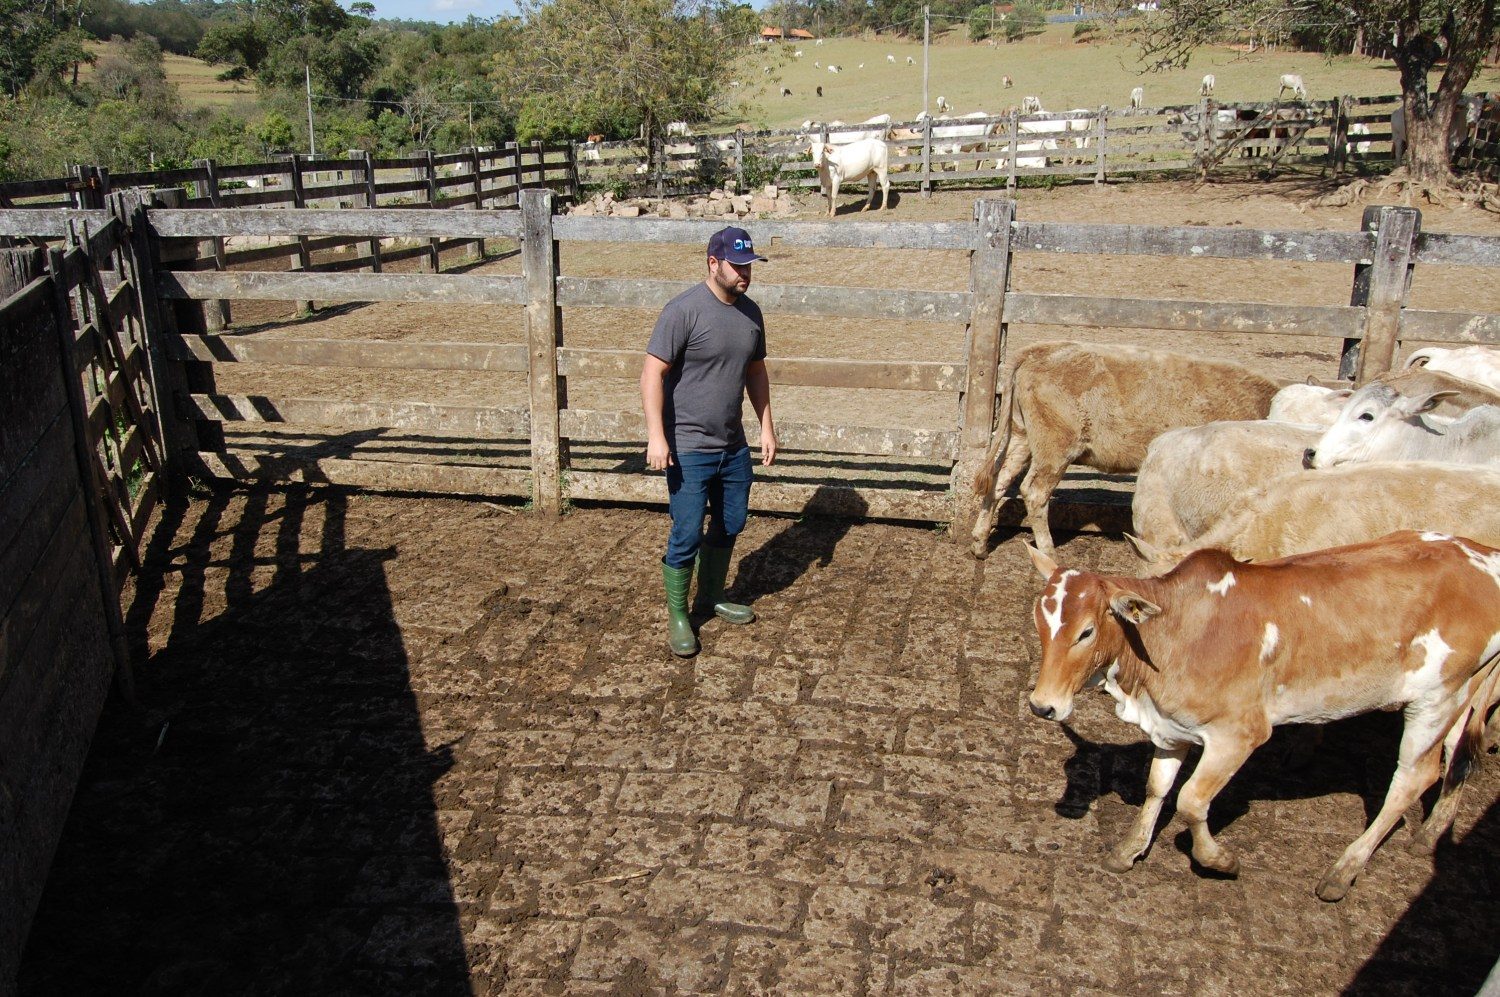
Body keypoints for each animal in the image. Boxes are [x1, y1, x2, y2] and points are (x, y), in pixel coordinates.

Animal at [972, 340, 1278, 560]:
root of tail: (1038, 350)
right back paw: (1049, 553)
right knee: (1034, 492)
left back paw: (979, 544)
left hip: (1022, 435)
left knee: (1000, 480)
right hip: (1055, 447)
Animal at [1026, 527, 1500, 899]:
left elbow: (1191, 800)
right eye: (1039, 624)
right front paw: (1129, 850)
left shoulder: (1239, 734)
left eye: (1086, 631)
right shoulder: (1171, 726)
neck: (1175, 633)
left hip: (1435, 698)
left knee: (1414, 777)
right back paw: (1430, 834)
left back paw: (1342, 871)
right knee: (1458, 757)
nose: (1042, 705)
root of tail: (1483, 555)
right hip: (1463, 691)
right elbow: (1157, 788)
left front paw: (1219, 860)